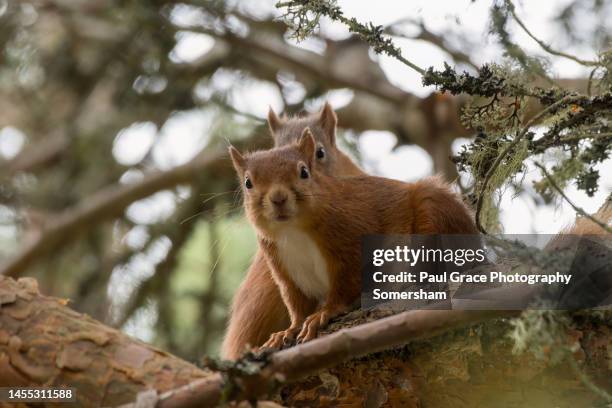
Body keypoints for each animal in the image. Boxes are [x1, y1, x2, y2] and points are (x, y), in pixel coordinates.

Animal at [230, 127, 478, 348]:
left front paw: (324, 313)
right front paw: (288, 330)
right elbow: (297, 302)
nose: (278, 198)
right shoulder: (283, 268)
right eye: (248, 182)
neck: (293, 231)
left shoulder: (349, 238)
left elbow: (345, 284)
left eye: (304, 172)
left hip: (432, 209)